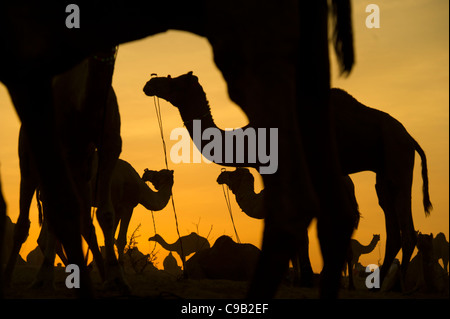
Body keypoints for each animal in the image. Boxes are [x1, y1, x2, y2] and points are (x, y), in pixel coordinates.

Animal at [2, 0, 356, 300]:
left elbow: (105, 223)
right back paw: (32, 277)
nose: (150, 83)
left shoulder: (110, 160)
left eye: (173, 82)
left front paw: (116, 279)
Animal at [145, 72, 432, 284]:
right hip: (383, 172)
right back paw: (380, 283)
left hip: (397, 159)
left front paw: (304, 279)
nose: (150, 83)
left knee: (404, 222)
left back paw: (397, 286)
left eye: (173, 81)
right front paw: (302, 278)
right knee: (390, 218)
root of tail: (411, 138)